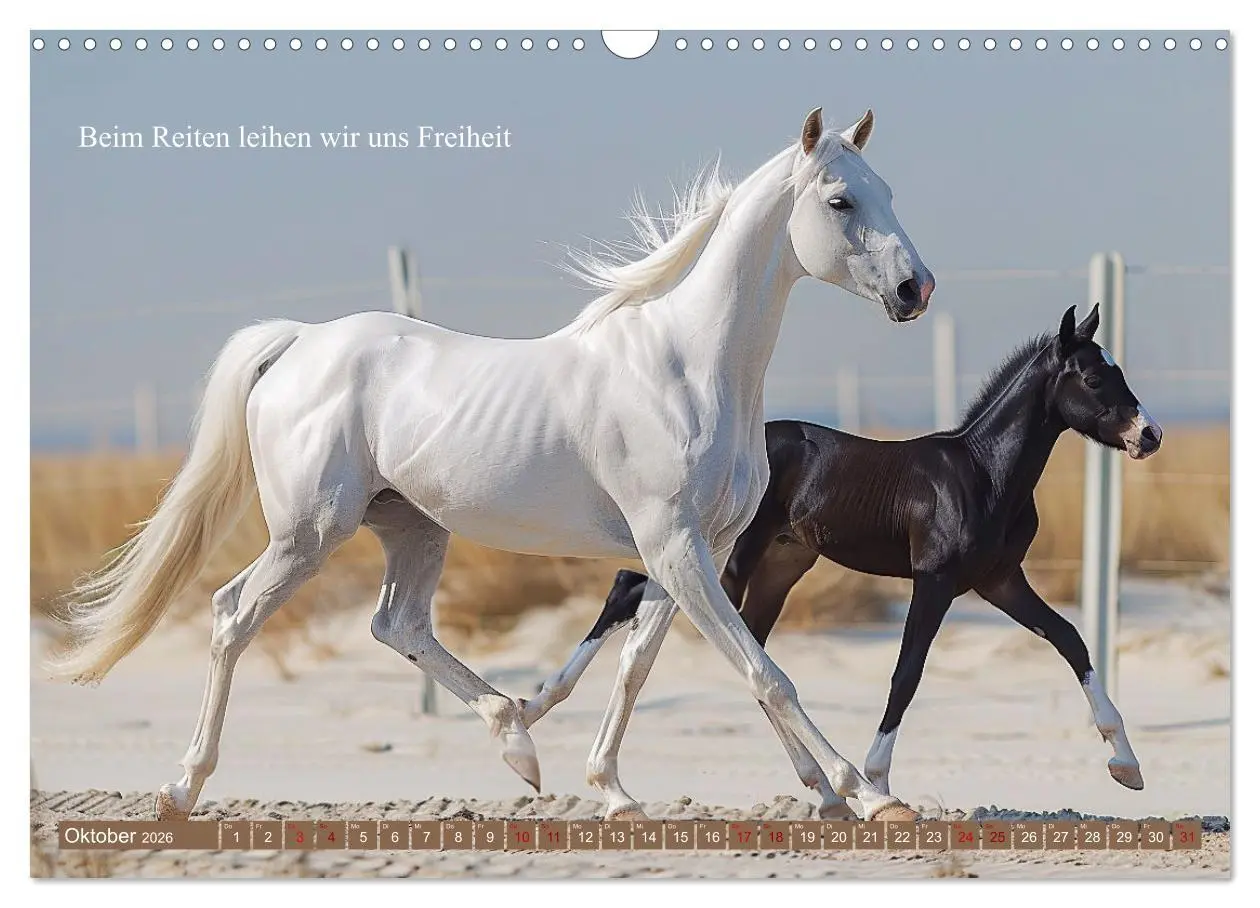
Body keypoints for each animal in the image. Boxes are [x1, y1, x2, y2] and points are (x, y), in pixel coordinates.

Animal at [47, 107, 935, 823]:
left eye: (891, 190)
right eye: (840, 201)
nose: (915, 289)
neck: (688, 368)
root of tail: (299, 341)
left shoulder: (694, 552)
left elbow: (644, 669)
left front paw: (617, 793)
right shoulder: (674, 546)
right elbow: (765, 672)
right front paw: (866, 794)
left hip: (411, 527)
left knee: (396, 623)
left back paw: (517, 740)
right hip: (309, 532)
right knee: (234, 616)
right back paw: (183, 787)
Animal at [519, 304, 1161, 818]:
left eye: (1118, 371)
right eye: (1094, 377)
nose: (1150, 434)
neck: (982, 472)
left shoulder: (1000, 581)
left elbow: (1071, 640)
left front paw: (1126, 766)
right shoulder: (935, 580)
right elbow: (907, 672)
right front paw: (877, 780)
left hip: (778, 567)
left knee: (744, 651)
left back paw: (825, 793)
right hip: (721, 558)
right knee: (633, 593)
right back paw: (534, 708)